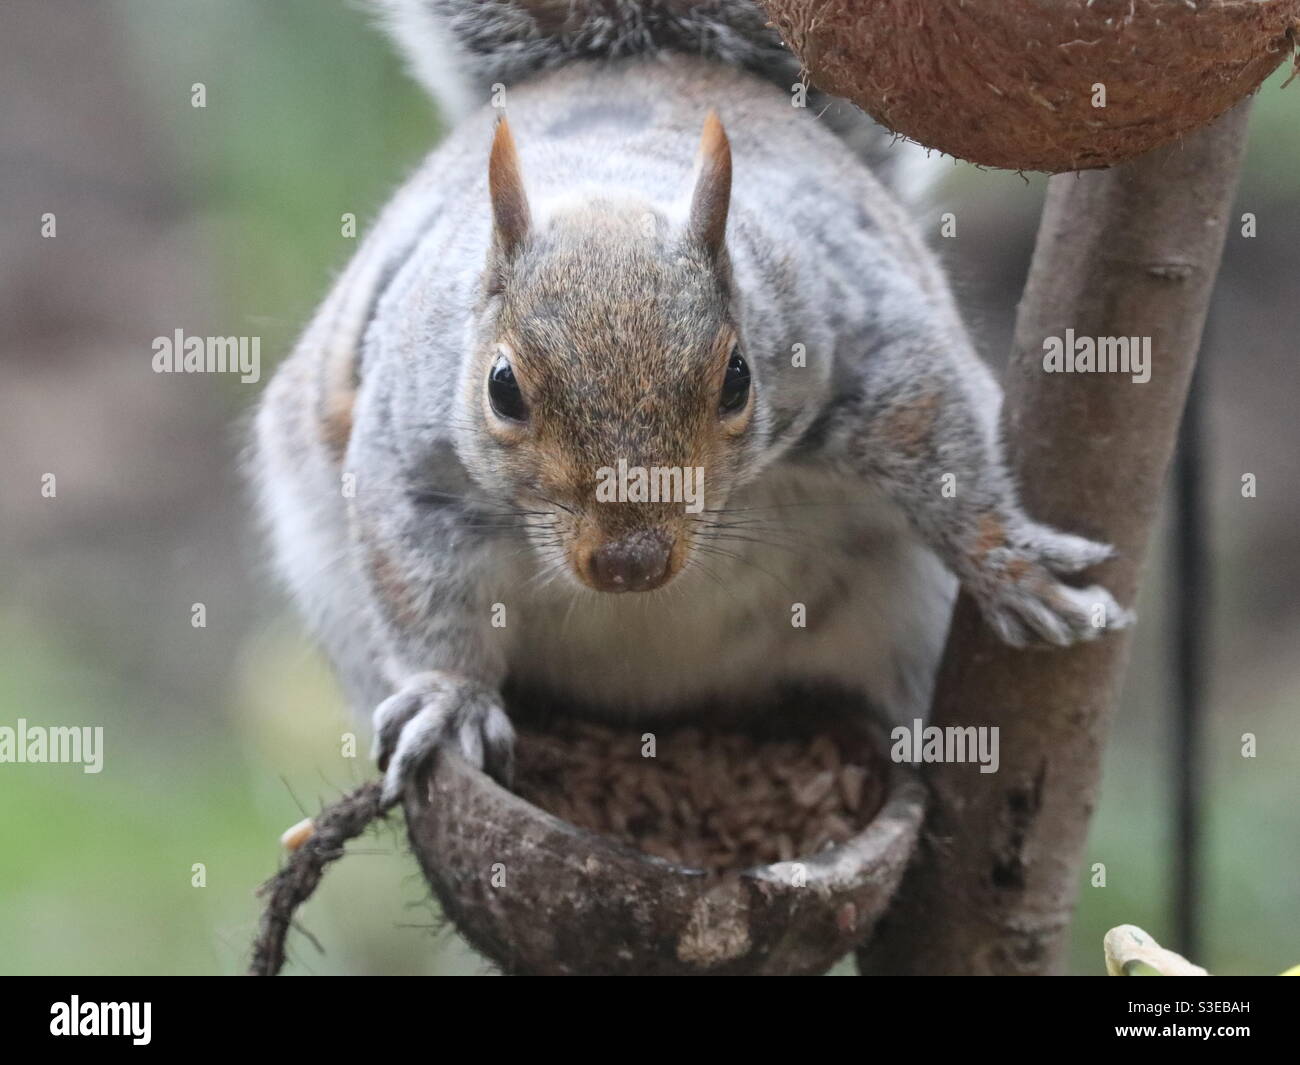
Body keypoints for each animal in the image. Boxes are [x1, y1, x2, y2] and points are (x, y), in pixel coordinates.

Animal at [250, 0, 1128, 806]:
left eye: (738, 377)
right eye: (503, 388)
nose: (629, 565)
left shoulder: (859, 337)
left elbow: (939, 439)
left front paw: (1009, 565)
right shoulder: (410, 456)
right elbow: (418, 583)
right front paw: (449, 696)